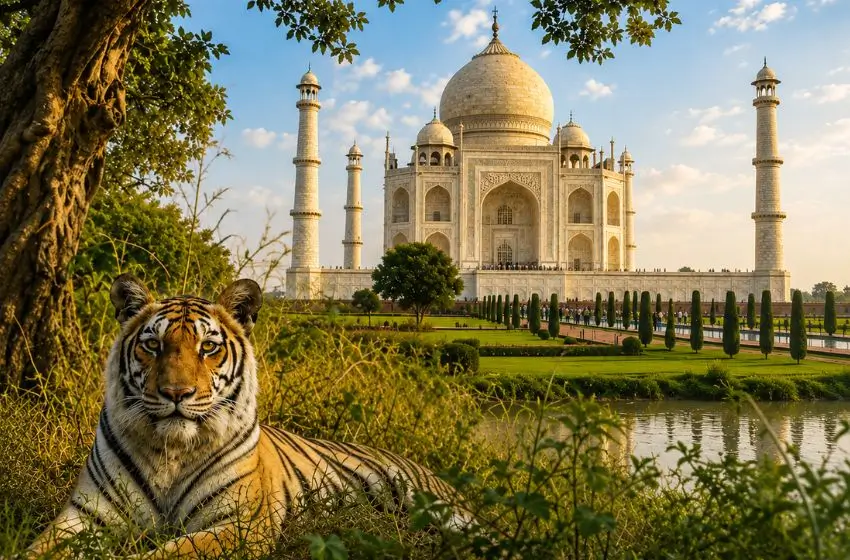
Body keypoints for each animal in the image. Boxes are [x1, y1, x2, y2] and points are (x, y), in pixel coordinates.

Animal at [28, 274, 469, 558]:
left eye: (208, 347)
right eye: (152, 345)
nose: (176, 393)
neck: (170, 452)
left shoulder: (241, 522)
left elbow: (166, 553)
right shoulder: (84, 514)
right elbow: (39, 550)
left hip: (444, 510)